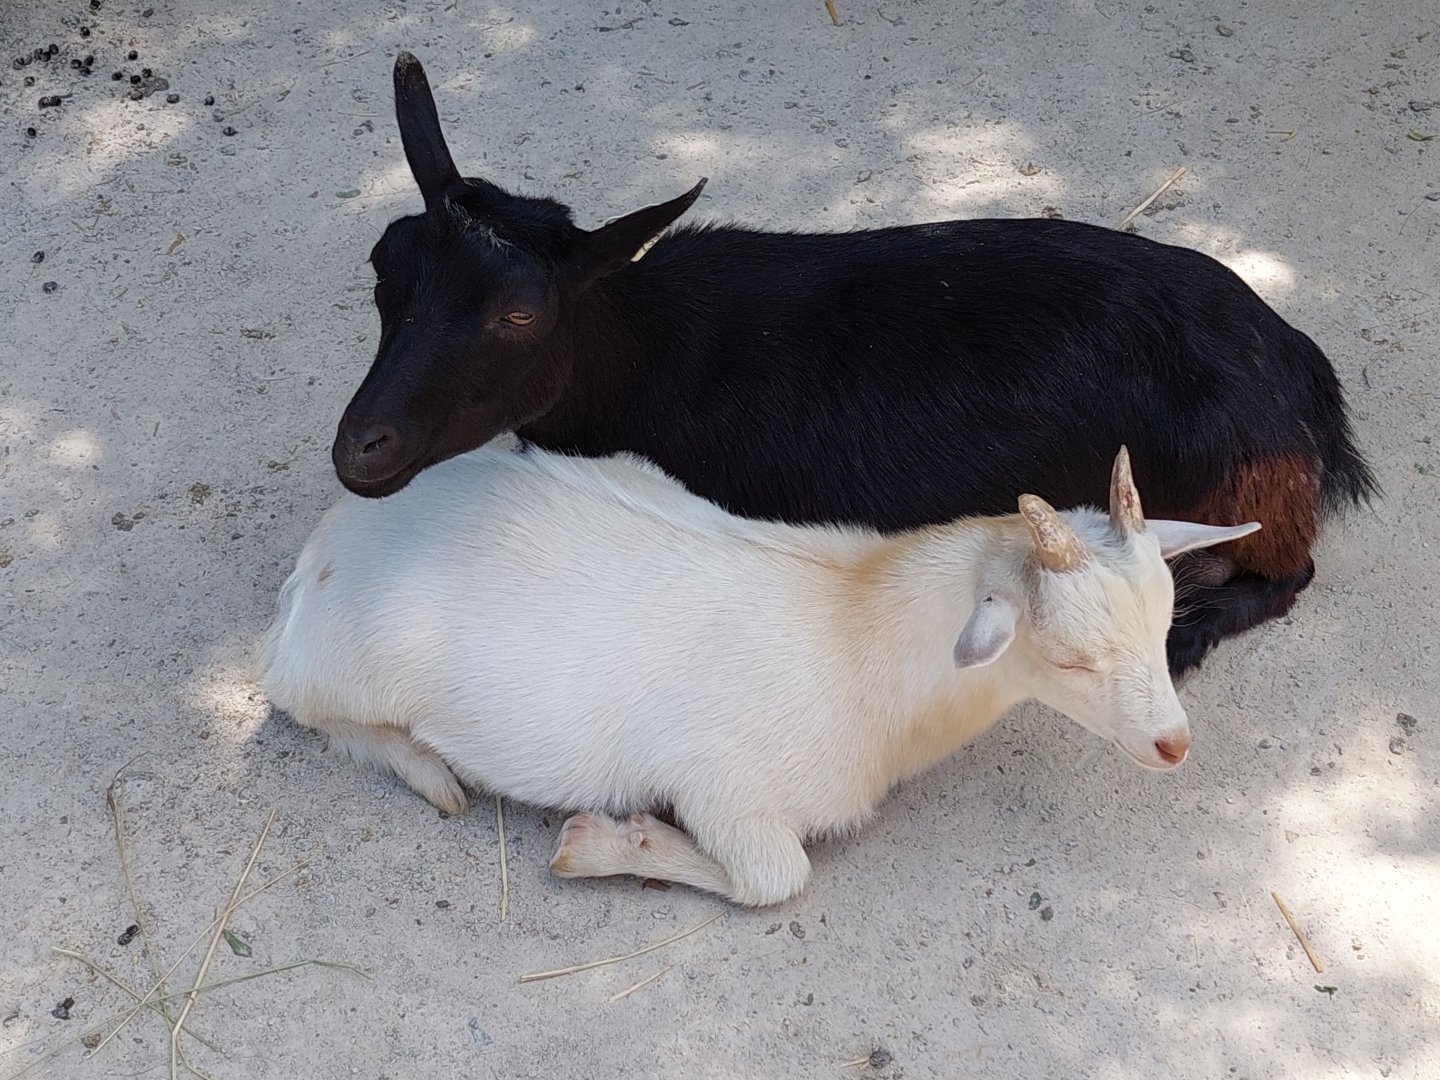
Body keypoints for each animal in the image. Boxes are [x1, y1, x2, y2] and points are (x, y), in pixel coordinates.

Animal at [262, 446, 1259, 906]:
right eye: (1069, 657)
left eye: (1165, 627)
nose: (1173, 745)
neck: (856, 632)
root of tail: (328, 545)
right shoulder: (722, 783)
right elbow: (777, 877)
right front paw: (604, 842)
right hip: (355, 666)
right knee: (304, 705)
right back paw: (432, 772)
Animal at [331, 53, 1372, 674]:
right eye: (384, 264)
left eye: (520, 312)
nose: (361, 449)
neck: (652, 351)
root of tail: (1300, 373)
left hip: (1244, 485)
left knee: (1290, 575)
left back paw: (1187, 628)